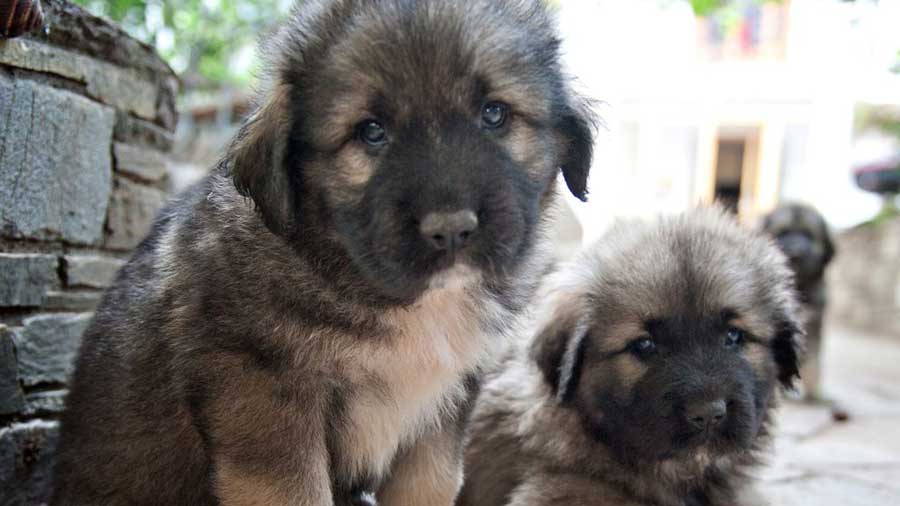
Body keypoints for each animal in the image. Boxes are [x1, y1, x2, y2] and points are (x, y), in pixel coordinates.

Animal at [51, 0, 596, 506]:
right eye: (371, 132)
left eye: (494, 114)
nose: (451, 230)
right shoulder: (264, 396)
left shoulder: (439, 418)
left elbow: (432, 485)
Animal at [768, 204, 836, 402]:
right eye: (783, 232)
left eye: (809, 235)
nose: (797, 253)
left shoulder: (814, 325)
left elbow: (814, 362)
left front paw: (816, 393)